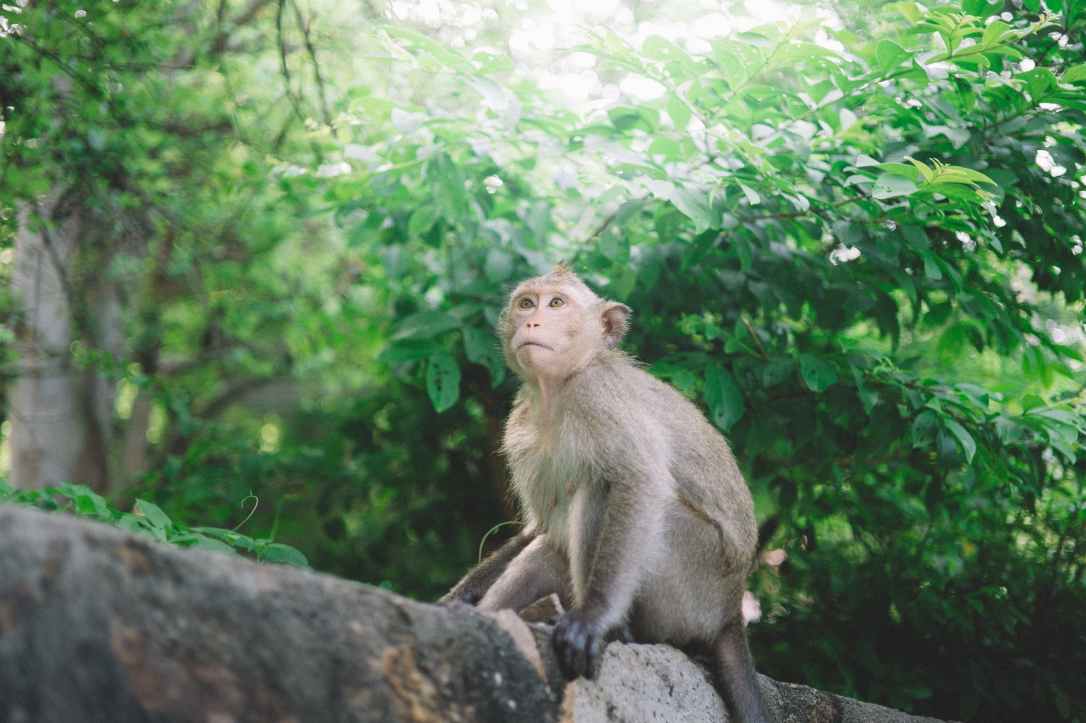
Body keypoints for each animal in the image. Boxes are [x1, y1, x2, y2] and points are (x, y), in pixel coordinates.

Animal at [441, 264, 773, 723]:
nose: (532, 321)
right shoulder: (520, 427)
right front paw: (457, 599)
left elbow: (639, 481)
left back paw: (613, 629)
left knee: (600, 492)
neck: (559, 389)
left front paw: (592, 619)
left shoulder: (598, 397)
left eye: (556, 303)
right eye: (527, 302)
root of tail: (730, 611)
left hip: (693, 581)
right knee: (551, 544)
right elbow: (538, 527)